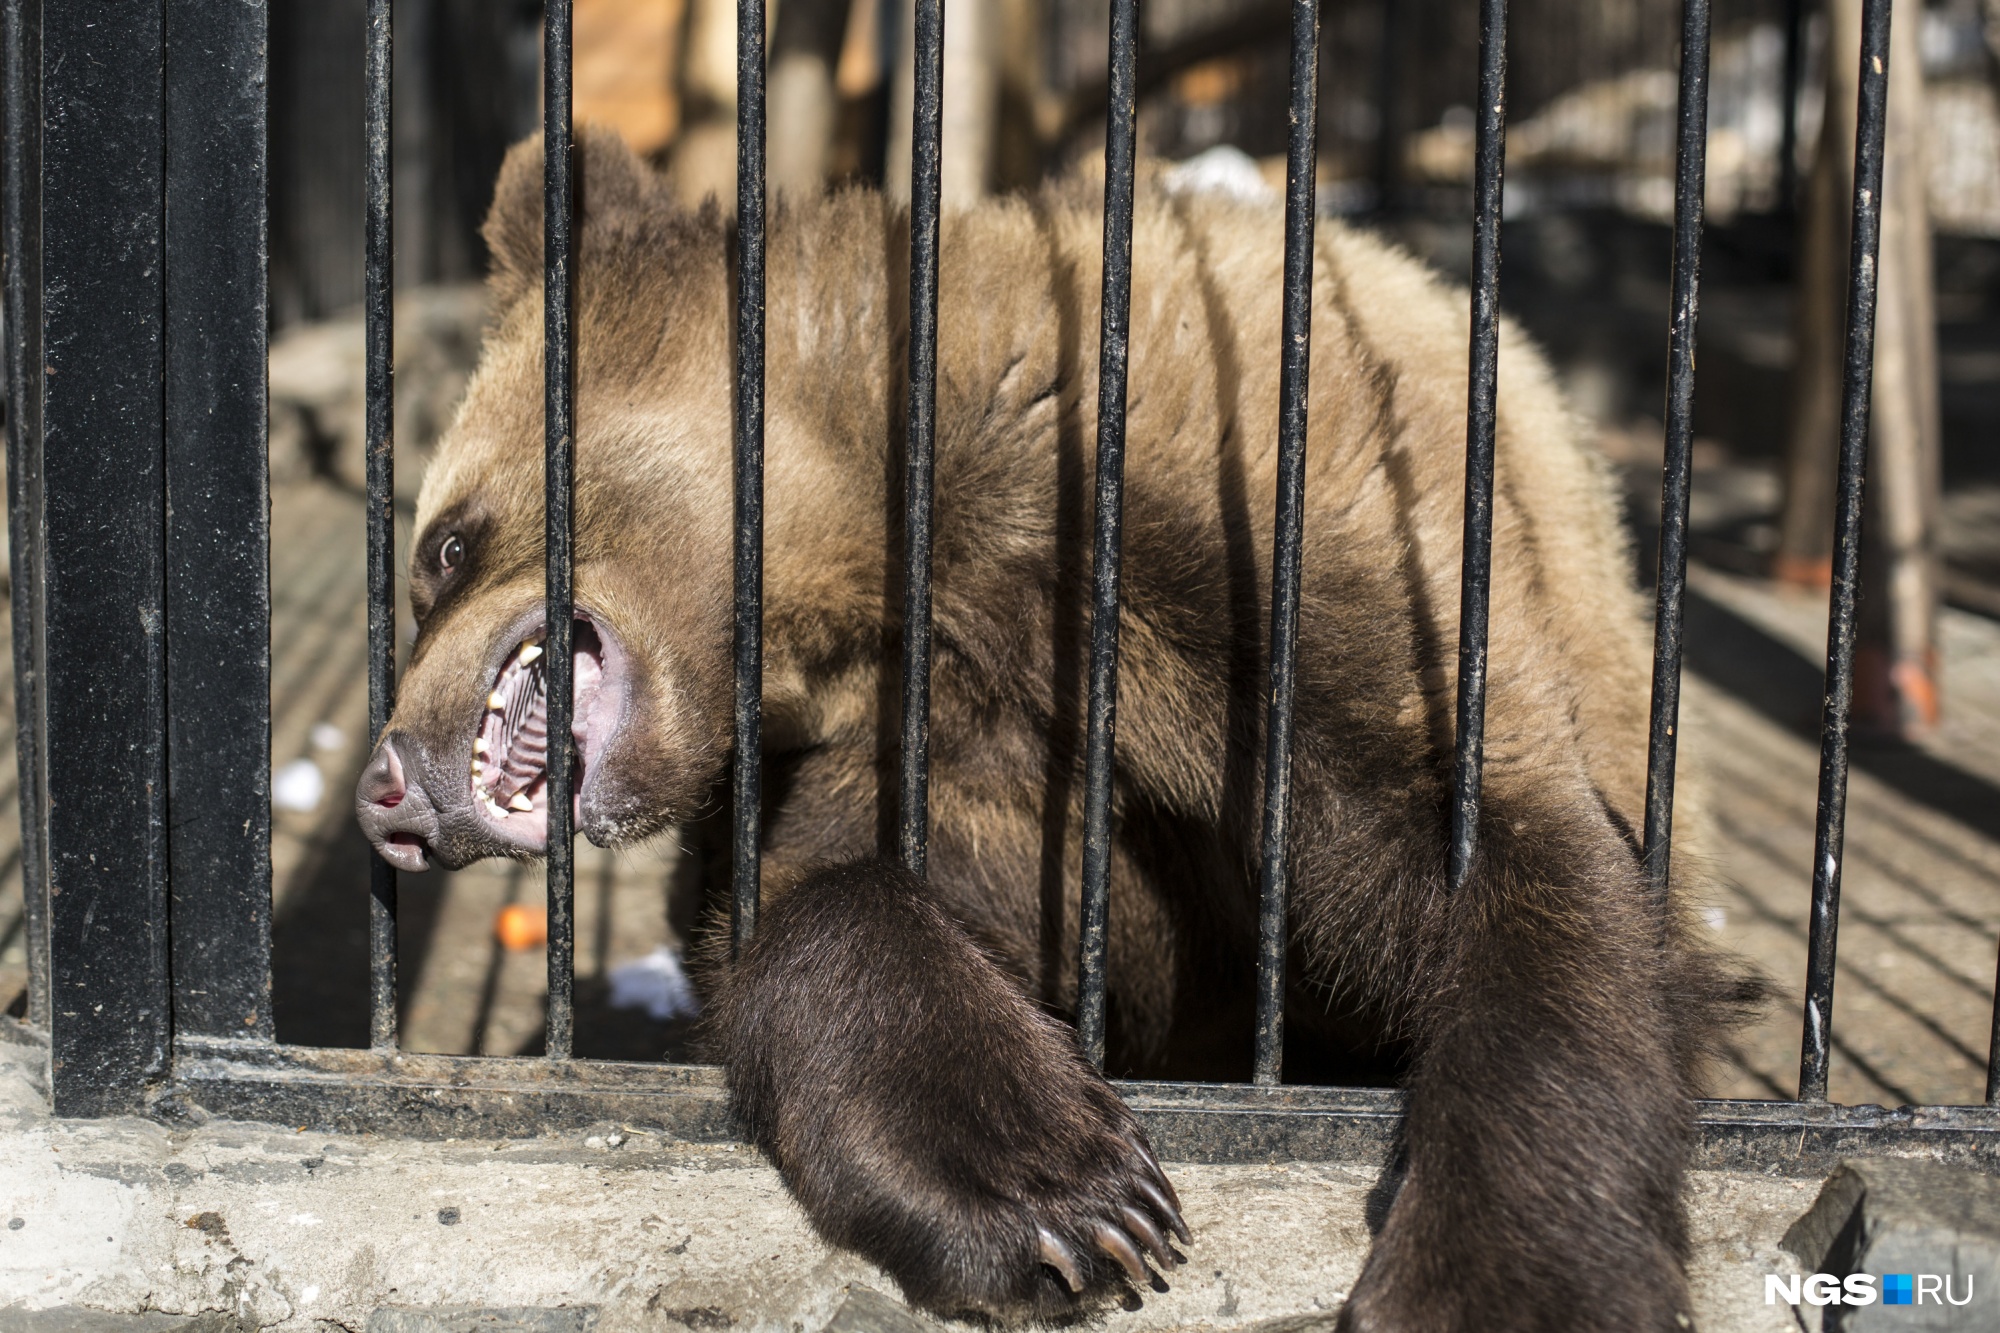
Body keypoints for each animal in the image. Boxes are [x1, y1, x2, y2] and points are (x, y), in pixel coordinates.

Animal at [356, 132, 1752, 1328]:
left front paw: (1504, 1283)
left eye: (440, 548)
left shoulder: (1309, 568)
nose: (385, 787)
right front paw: (1066, 1199)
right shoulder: (945, 732)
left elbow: (1513, 871)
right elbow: (833, 905)